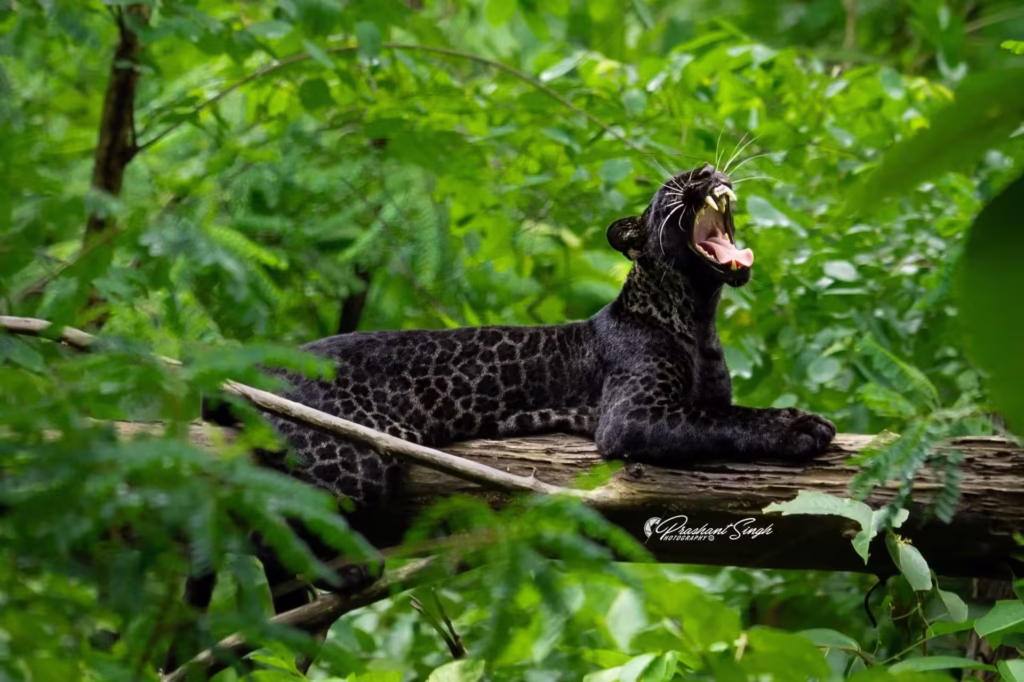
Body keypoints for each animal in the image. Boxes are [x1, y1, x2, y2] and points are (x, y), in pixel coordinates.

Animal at [163, 162, 836, 670]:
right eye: (674, 185)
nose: (704, 172)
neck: (698, 316)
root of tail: (249, 369)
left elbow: (726, 409)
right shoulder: (636, 414)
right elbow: (725, 421)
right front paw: (801, 427)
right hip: (352, 461)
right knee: (275, 511)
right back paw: (349, 574)